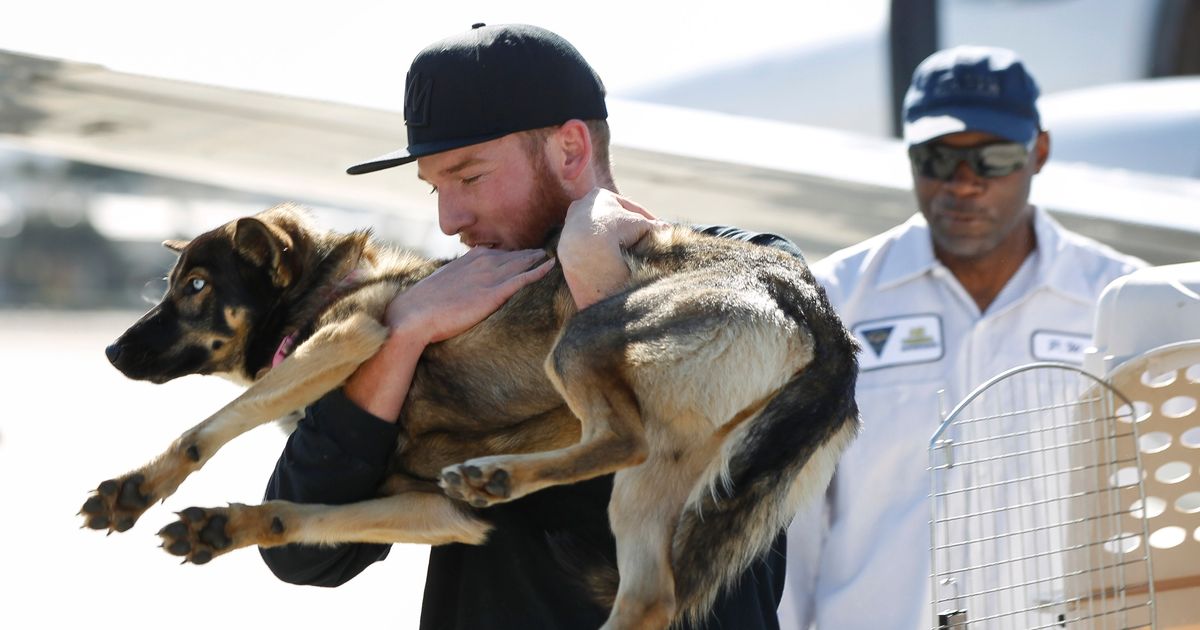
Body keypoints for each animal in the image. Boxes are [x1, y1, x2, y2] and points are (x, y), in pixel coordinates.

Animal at [82, 204, 854, 624]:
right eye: (173, 285)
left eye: (197, 287)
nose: (112, 351)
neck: (328, 287)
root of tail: (818, 316)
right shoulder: (439, 511)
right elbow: (302, 518)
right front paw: (225, 525)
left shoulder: (350, 337)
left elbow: (205, 429)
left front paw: (134, 489)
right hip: (671, 479)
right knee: (649, 600)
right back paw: (496, 481)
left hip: (584, 343)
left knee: (621, 440)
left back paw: (501, 474)